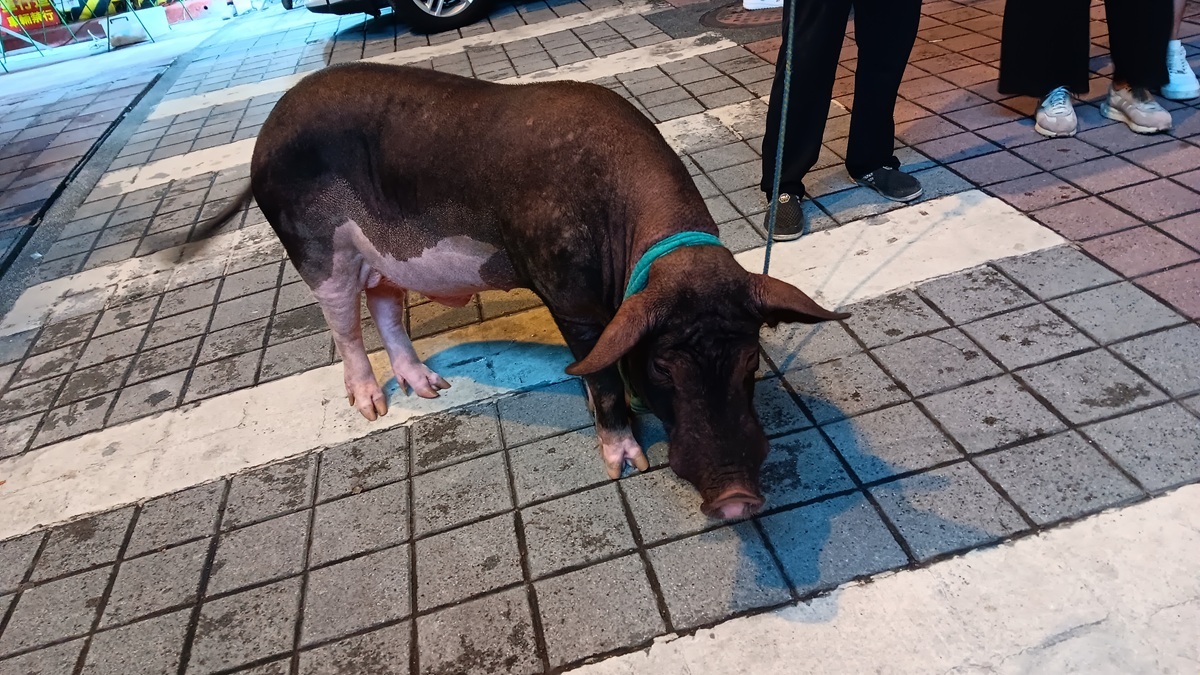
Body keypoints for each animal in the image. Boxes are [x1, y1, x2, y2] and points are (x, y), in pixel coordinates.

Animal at [200, 62, 848, 519]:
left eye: (751, 358)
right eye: (665, 366)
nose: (738, 499)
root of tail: (269, 126)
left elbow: (597, 368)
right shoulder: (570, 297)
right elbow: (600, 375)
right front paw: (626, 465)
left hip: (384, 258)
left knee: (385, 306)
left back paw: (430, 388)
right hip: (315, 248)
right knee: (344, 324)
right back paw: (372, 406)